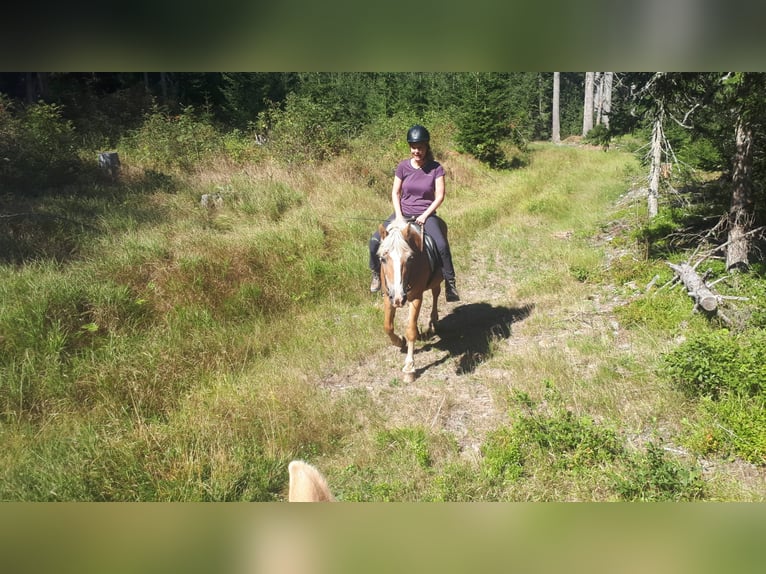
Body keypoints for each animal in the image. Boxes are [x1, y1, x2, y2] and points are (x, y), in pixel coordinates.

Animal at [376, 218, 444, 384]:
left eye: (410, 258)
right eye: (383, 259)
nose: (399, 298)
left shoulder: (416, 297)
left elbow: (411, 330)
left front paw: (409, 367)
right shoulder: (388, 296)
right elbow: (387, 326)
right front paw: (400, 341)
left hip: (436, 280)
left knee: (436, 293)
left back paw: (434, 320)